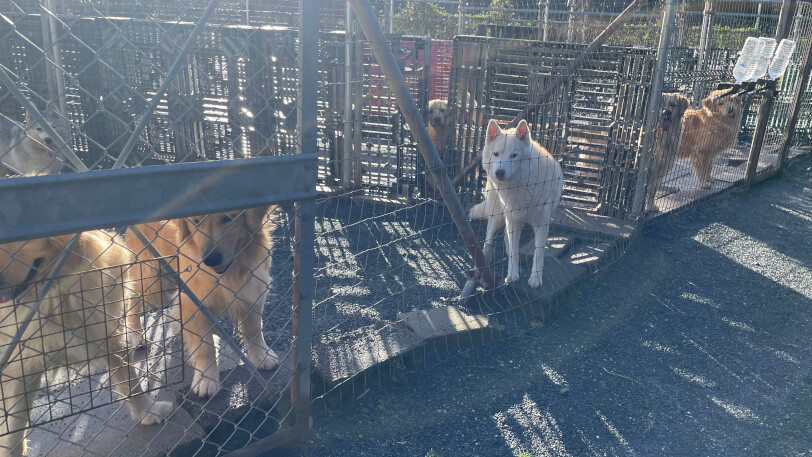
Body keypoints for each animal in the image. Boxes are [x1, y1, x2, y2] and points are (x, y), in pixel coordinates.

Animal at [0, 232, 171, 456]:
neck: (55, 294)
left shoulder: (109, 334)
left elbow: (130, 382)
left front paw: (147, 410)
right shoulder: (20, 365)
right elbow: (14, 424)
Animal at [126, 205, 280, 398]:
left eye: (228, 218)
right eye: (196, 222)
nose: (210, 260)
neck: (229, 273)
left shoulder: (253, 287)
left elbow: (253, 329)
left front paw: (262, 356)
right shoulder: (192, 301)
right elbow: (204, 346)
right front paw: (206, 379)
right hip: (151, 273)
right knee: (131, 297)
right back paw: (136, 334)